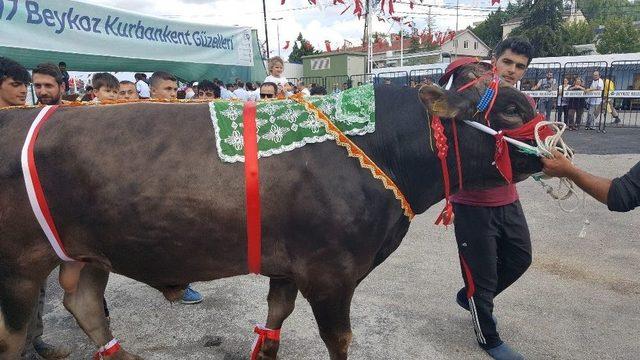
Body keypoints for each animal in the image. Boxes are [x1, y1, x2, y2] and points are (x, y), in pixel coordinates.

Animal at [0, 63, 540, 358]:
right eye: (512, 109)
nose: (553, 143)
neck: (378, 146)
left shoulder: (289, 267)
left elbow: (275, 319)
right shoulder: (330, 273)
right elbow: (338, 340)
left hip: (89, 253)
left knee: (84, 304)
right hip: (21, 267)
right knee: (15, 335)